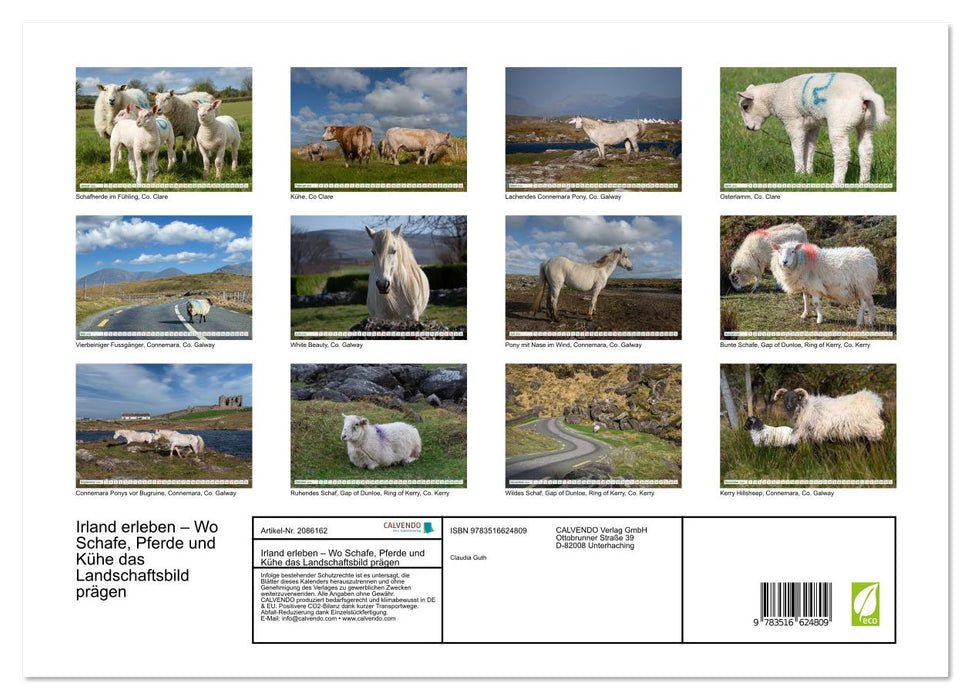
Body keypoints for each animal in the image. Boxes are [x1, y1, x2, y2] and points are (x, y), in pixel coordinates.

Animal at [736, 72, 890, 185]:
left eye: (745, 106)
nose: (748, 128)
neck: (774, 96)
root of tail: (864, 92)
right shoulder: (812, 125)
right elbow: (809, 148)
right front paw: (808, 173)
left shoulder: (792, 121)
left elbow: (797, 147)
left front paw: (798, 173)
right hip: (867, 123)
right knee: (866, 150)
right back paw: (864, 181)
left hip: (840, 122)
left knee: (842, 153)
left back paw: (837, 182)